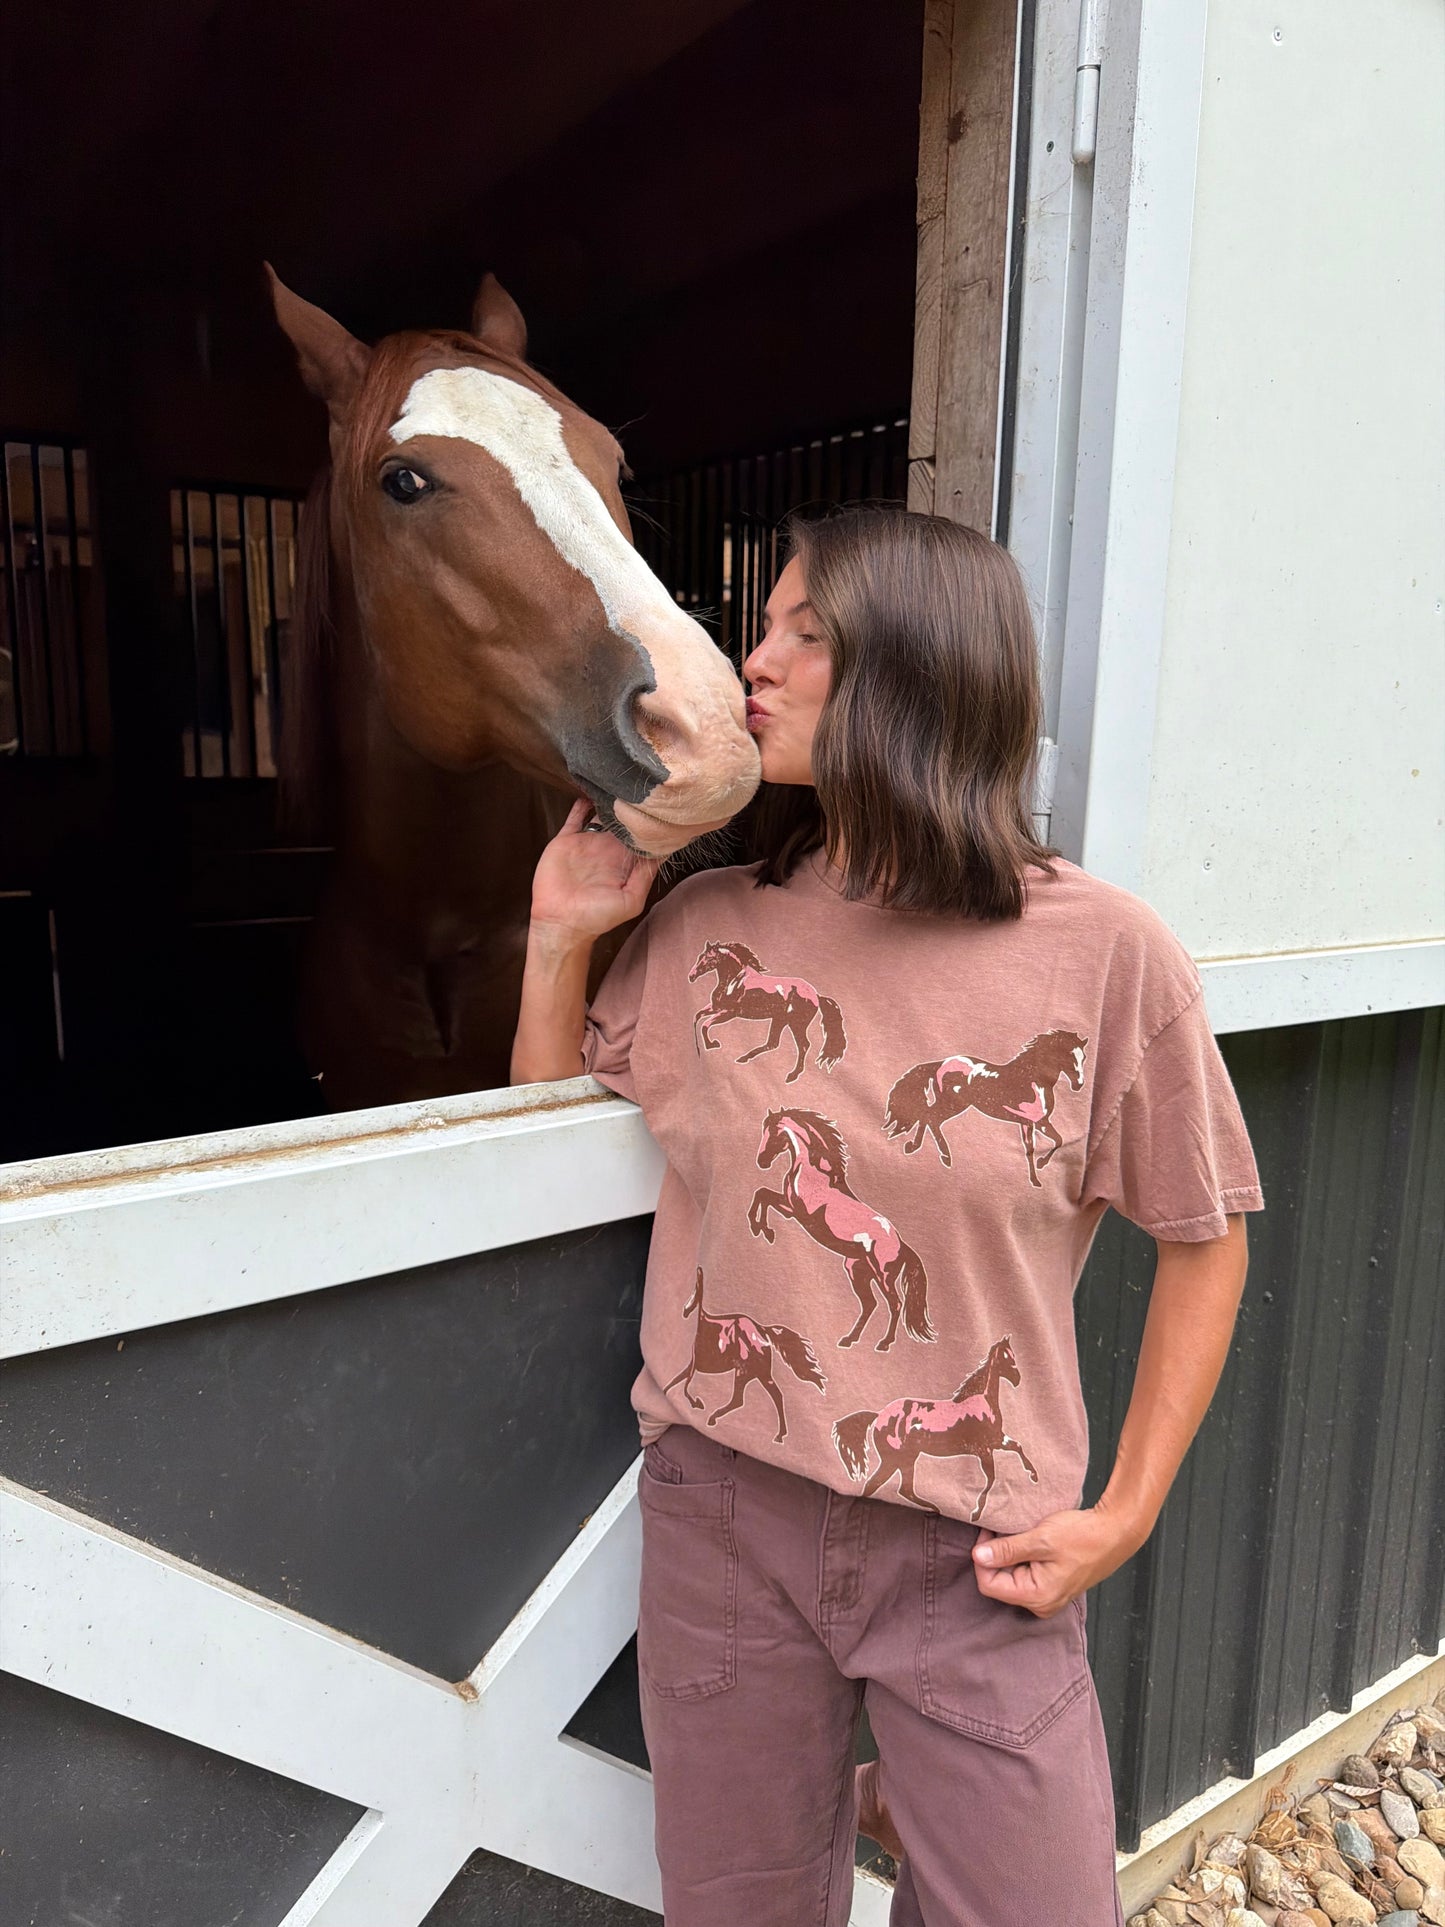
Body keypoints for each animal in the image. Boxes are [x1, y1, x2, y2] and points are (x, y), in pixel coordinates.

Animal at [661, 1269, 825, 1443]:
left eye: (695, 1289)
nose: (684, 1311)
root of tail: (763, 1330)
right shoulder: (691, 1366)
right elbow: (673, 1383)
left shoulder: (694, 1366)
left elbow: (684, 1387)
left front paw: (696, 1403)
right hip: (761, 1374)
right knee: (776, 1396)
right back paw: (780, 1435)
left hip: (744, 1372)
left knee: (739, 1400)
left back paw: (713, 1418)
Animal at [689, 940, 847, 1083]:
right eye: (699, 957)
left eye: (710, 958)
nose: (691, 976)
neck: (734, 981)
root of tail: (817, 996)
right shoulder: (716, 1007)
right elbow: (697, 1017)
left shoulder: (729, 1012)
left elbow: (705, 1025)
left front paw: (711, 1044)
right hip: (779, 1019)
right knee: (773, 1043)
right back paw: (744, 1058)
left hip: (796, 1024)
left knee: (803, 1045)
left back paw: (792, 1075)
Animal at [749, 1108, 933, 1352]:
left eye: (774, 1134)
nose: (761, 1161)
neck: (812, 1173)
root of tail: (902, 1245)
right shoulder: (790, 1208)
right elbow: (762, 1194)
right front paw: (762, 1229)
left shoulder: (796, 1212)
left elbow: (763, 1196)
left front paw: (762, 1228)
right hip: (856, 1270)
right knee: (870, 1304)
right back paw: (849, 1339)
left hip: (883, 1275)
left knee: (894, 1304)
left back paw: (884, 1343)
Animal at [832, 1336, 1039, 1520]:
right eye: (1005, 1356)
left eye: (1013, 1354)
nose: (1017, 1379)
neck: (983, 1403)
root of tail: (878, 1415)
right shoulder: (984, 1450)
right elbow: (991, 1479)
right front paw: (975, 1513)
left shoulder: (997, 1440)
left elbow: (1017, 1447)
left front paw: (1034, 1476)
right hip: (898, 1459)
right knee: (892, 1488)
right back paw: (934, 1507)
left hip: (901, 1460)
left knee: (889, 1488)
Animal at [882, 1030, 1088, 1186]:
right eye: (1069, 1055)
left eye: (1084, 1057)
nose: (1078, 1084)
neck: (1032, 1080)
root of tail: (941, 1063)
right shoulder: (1036, 1121)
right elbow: (1047, 1144)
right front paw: (1039, 1168)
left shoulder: (1031, 1123)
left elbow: (1042, 1145)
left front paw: (1037, 1173)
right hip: (954, 1103)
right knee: (931, 1118)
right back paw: (944, 1156)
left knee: (927, 1116)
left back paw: (919, 1148)